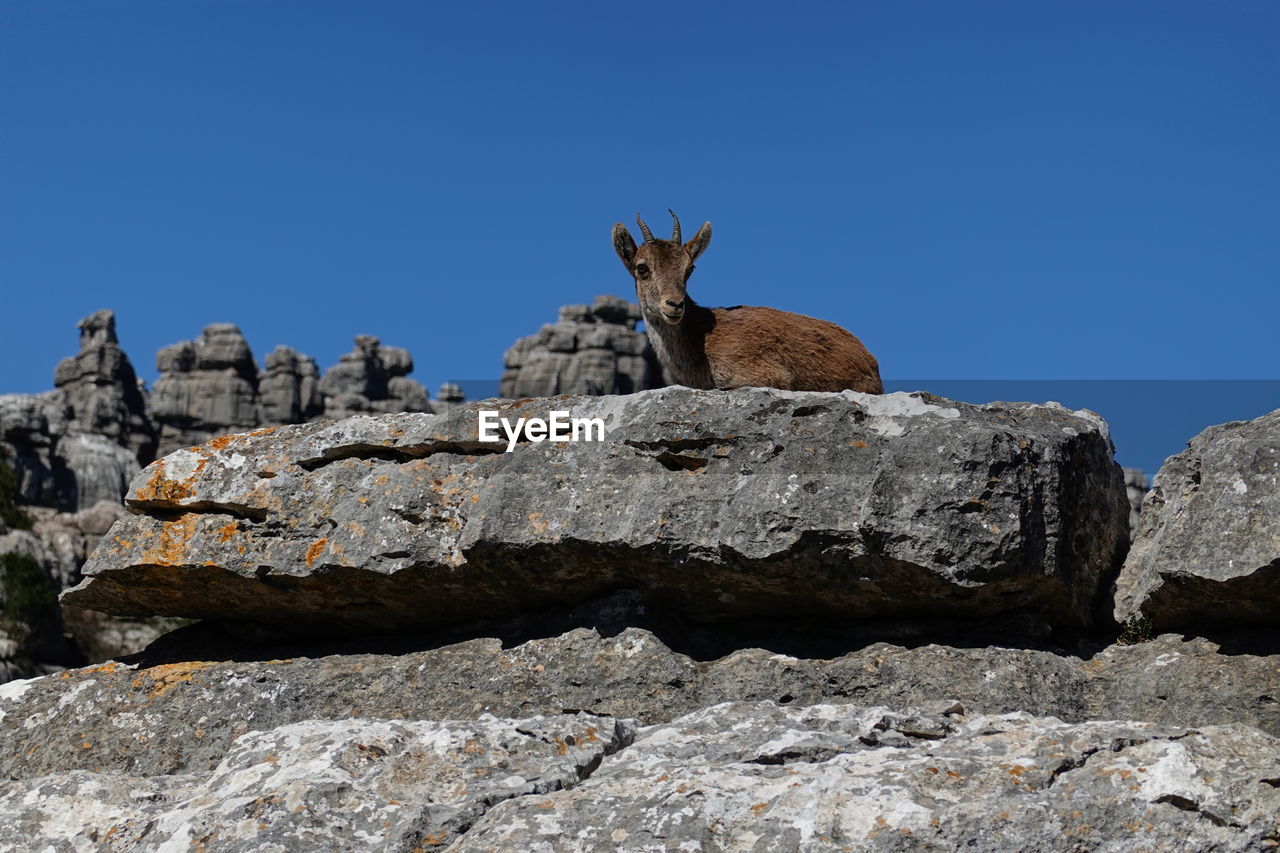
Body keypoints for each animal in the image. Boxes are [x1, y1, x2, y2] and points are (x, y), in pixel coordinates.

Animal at [614, 211, 885, 389]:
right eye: (642, 268)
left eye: (689, 269)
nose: (674, 305)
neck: (700, 342)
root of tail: (871, 360)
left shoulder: (766, 375)